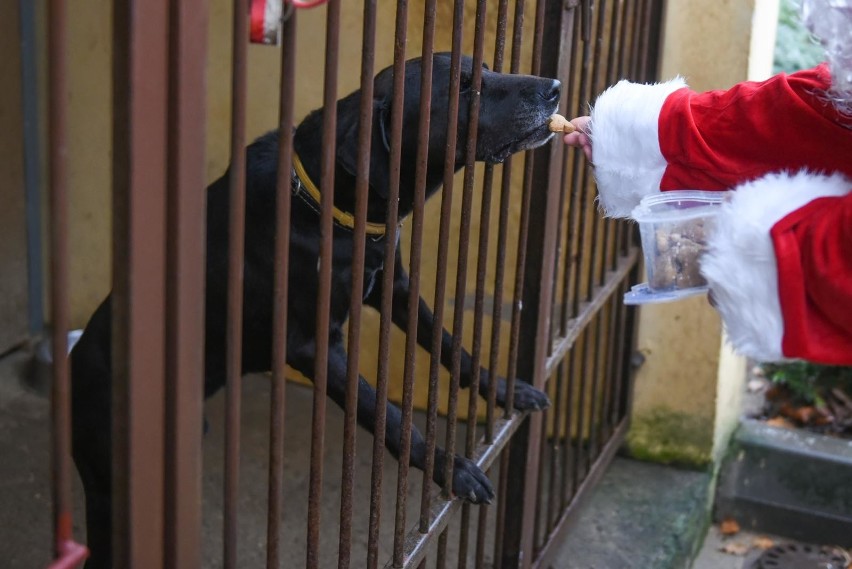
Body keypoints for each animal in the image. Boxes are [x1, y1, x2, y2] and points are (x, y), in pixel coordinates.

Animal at [68, 52, 560, 564]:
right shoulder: (314, 346)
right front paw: (452, 467)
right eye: (463, 88)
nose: (555, 88)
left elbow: (451, 347)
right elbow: (386, 414)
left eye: (487, 68)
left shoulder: (396, 289)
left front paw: (505, 389)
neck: (326, 202)